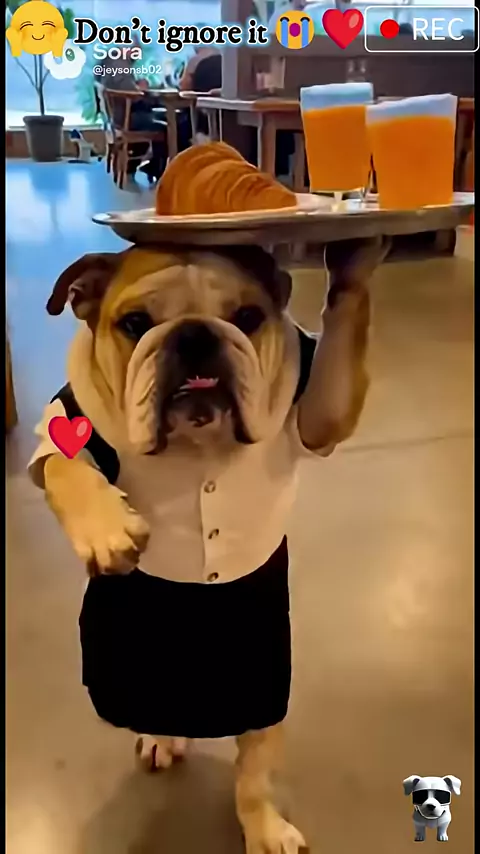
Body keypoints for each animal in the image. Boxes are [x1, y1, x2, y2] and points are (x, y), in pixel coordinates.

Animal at [29, 238, 387, 854]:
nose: (196, 334)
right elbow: (62, 466)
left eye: (247, 316)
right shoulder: (66, 422)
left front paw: (354, 261)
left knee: (254, 761)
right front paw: (106, 528)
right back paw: (161, 735)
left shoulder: (316, 413)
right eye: (134, 323)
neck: (198, 443)